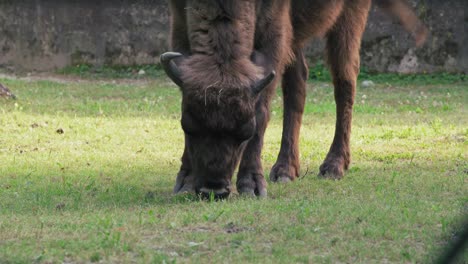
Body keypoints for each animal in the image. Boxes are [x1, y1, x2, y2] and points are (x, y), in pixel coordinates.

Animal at [161, 0, 428, 198]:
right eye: (187, 127)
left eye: (245, 133)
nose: (213, 190)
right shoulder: (180, 20)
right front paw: (185, 182)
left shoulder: (274, 30)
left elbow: (262, 110)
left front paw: (252, 185)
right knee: (297, 86)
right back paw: (285, 170)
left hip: (348, 19)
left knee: (345, 83)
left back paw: (334, 166)